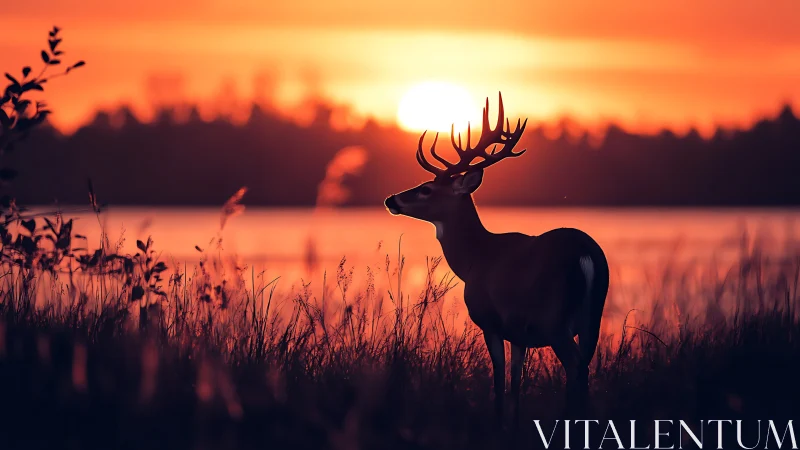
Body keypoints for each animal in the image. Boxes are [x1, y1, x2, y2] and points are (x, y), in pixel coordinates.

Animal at [384, 92, 609, 427]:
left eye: (426, 189)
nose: (391, 199)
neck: (476, 259)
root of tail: (585, 253)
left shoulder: (490, 320)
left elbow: (499, 382)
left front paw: (498, 423)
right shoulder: (519, 332)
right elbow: (516, 384)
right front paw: (513, 425)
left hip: (555, 319)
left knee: (576, 369)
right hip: (592, 317)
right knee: (584, 368)